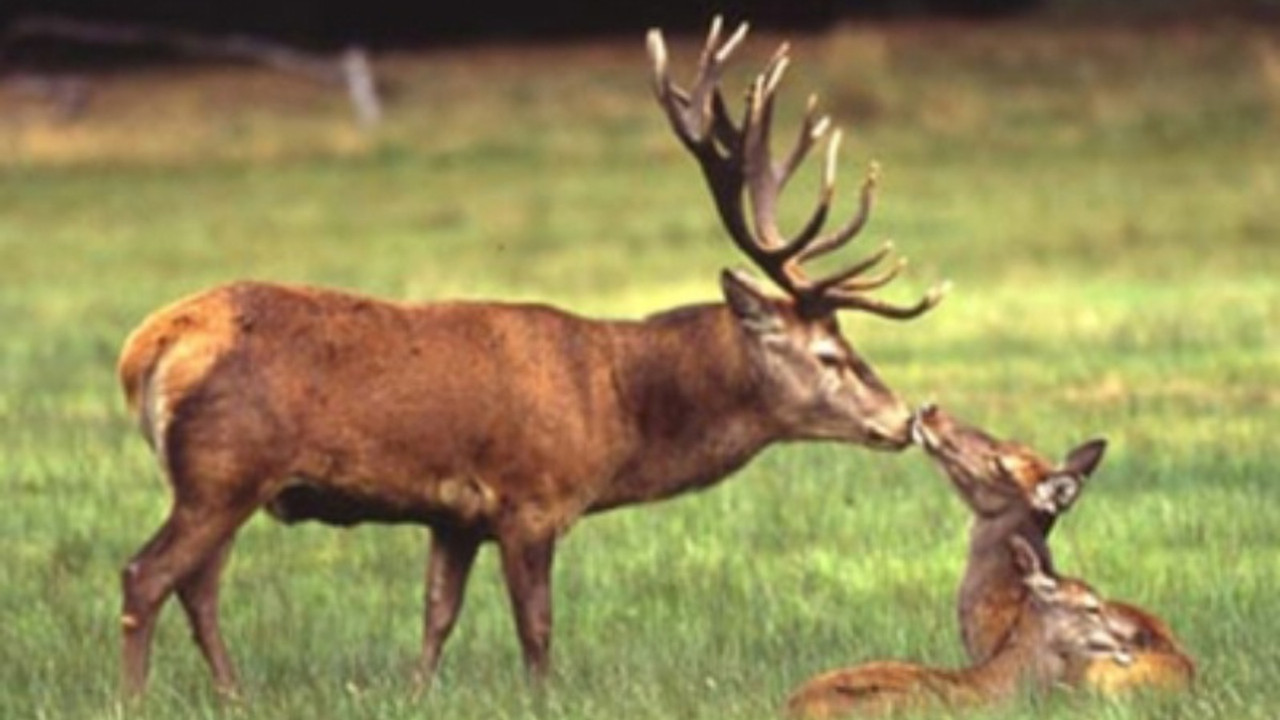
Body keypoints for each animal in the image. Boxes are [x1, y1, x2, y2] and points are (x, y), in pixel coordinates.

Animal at [115, 19, 947, 696]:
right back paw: (137, 699)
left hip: (221, 479)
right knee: (145, 576)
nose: (902, 419)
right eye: (831, 354)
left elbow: (437, 616)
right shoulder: (532, 498)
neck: (614, 408)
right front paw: (541, 699)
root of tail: (147, 346)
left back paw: (233, 696)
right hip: (224, 468)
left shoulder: (453, 516)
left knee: (199, 587)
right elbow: (537, 630)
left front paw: (416, 695)